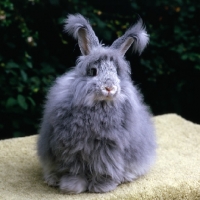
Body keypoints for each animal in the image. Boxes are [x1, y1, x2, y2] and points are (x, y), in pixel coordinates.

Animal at [37, 13, 156, 194]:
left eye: (116, 73)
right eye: (93, 72)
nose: (110, 88)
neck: (100, 105)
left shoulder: (108, 149)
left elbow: (104, 168)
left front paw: (101, 187)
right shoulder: (72, 149)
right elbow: (74, 170)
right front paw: (72, 187)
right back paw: (53, 180)